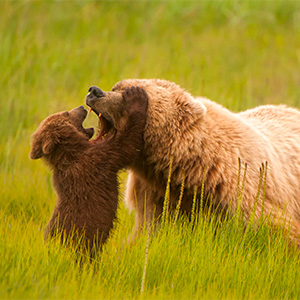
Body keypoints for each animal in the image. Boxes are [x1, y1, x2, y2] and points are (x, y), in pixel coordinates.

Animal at [86, 79, 300, 246]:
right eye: (116, 87)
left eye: (126, 93)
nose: (94, 91)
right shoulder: (157, 195)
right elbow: (147, 234)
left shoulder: (241, 193)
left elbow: (277, 230)